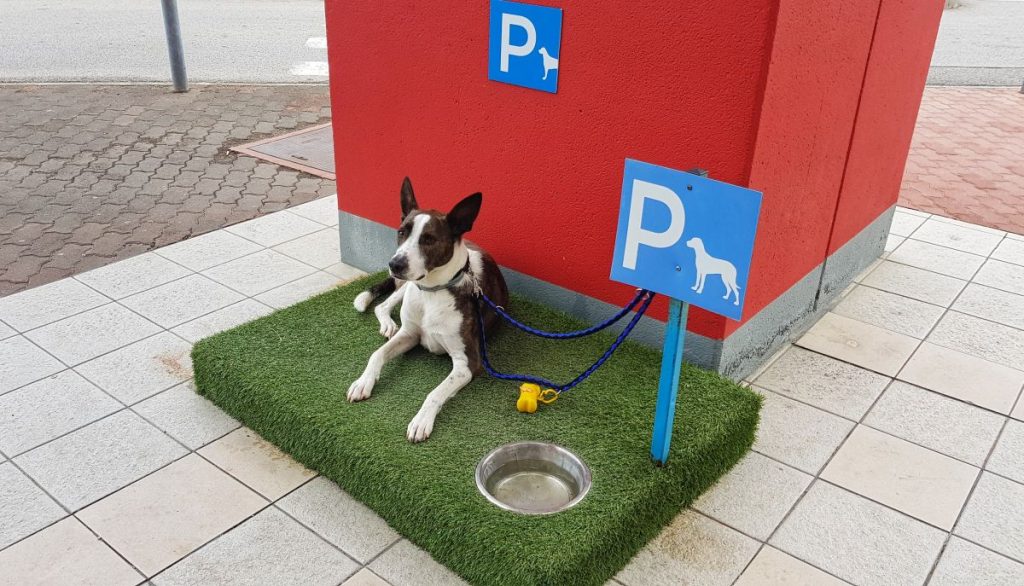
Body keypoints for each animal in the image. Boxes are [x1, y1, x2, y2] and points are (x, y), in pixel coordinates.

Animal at [348, 176, 507, 442]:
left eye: (429, 239)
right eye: (402, 232)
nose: (395, 264)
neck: (433, 292)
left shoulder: (468, 363)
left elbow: (435, 392)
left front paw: (421, 421)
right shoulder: (410, 334)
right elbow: (377, 354)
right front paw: (363, 382)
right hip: (405, 288)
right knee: (383, 305)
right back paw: (388, 324)